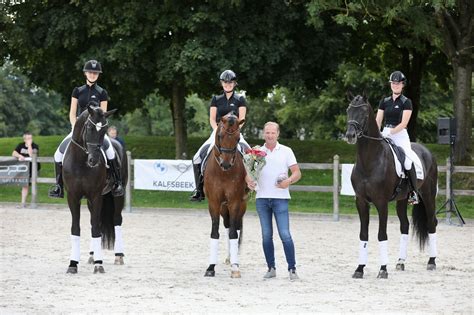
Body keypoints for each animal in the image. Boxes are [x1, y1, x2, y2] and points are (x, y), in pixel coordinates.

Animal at [65, 105, 129, 274]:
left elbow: (95, 228)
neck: (81, 161)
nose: (94, 160)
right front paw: (73, 264)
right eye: (88, 127)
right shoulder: (73, 197)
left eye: (104, 129)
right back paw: (92, 255)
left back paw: (118, 256)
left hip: (117, 195)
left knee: (116, 220)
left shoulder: (96, 195)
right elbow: (76, 228)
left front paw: (99, 264)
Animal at [203, 111, 248, 278]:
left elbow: (234, 233)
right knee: (228, 225)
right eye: (220, 135)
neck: (223, 173)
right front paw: (210, 267)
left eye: (238, 138)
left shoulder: (235, 202)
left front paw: (235, 268)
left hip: (241, 205)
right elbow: (215, 232)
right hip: (223, 207)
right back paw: (229, 259)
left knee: (236, 226)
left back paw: (234, 260)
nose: (226, 164)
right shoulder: (214, 203)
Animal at [344, 95, 436, 280]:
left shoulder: (381, 202)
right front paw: (360, 269)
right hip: (402, 199)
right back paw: (400, 262)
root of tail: (427, 151)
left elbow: (382, 235)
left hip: (429, 195)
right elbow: (363, 235)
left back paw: (432, 261)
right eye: (348, 110)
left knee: (431, 223)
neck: (370, 160)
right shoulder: (361, 201)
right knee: (405, 226)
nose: (350, 135)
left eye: (364, 112)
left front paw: (383, 269)